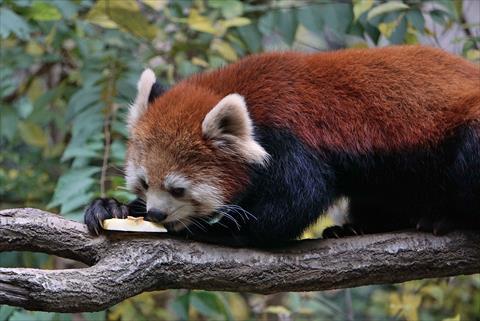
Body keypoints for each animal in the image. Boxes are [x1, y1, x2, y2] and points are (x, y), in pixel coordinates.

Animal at [84, 45, 478, 245]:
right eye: (144, 184)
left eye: (178, 189)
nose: (155, 214)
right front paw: (113, 207)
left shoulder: (294, 140)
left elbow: (295, 202)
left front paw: (214, 230)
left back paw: (446, 218)